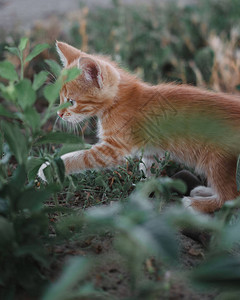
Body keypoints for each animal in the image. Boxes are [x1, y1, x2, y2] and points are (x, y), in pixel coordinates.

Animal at [38, 41, 240, 213]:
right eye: (61, 99)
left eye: (71, 102)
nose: (59, 114)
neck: (118, 101)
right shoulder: (152, 149)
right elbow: (148, 167)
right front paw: (144, 187)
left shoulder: (113, 150)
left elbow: (82, 157)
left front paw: (49, 168)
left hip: (217, 160)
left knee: (230, 196)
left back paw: (198, 203)